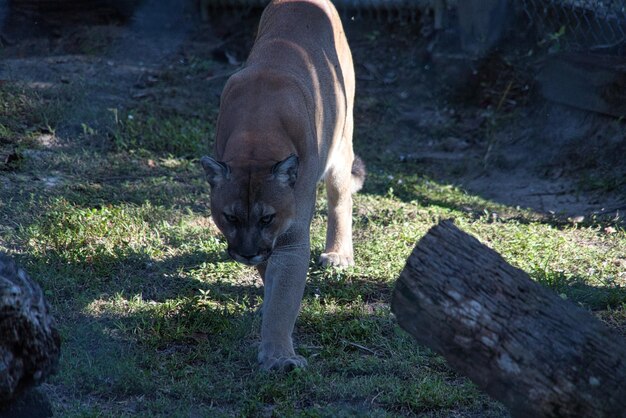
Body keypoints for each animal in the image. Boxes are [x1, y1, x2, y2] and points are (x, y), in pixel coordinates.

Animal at [202, 0, 364, 370]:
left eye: (267, 217)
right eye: (230, 217)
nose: (246, 253)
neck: (256, 136)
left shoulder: (289, 236)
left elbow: (284, 295)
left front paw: (279, 357)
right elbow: (272, 278)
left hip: (341, 143)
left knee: (341, 198)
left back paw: (339, 255)